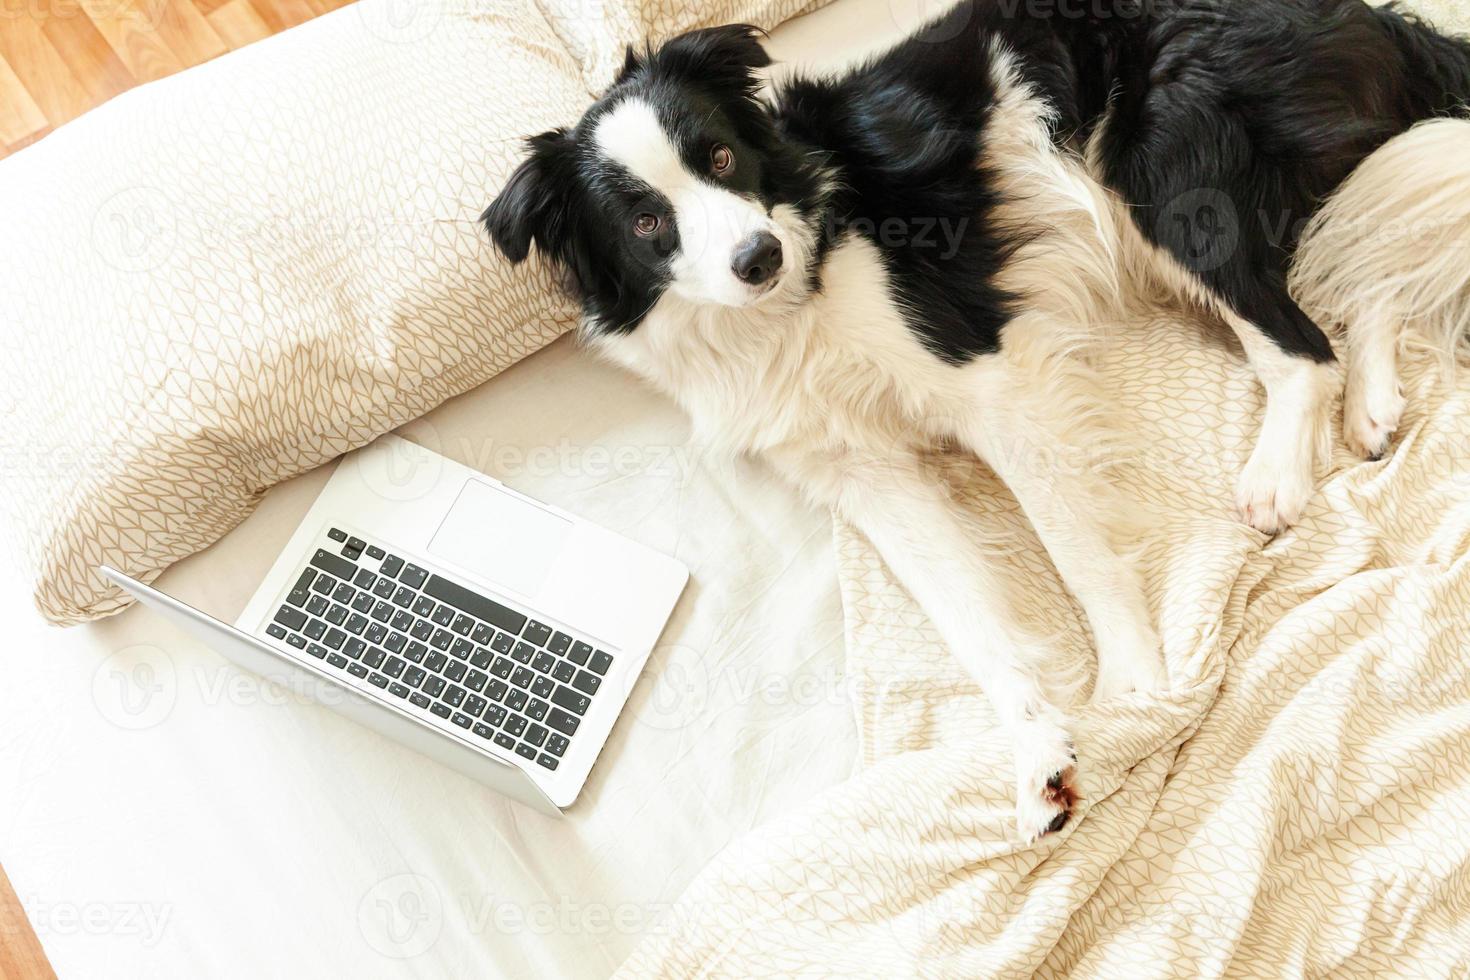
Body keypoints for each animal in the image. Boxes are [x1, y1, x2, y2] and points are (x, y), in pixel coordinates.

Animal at [488, 1, 1470, 846]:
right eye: (646, 221)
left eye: (722, 159)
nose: (758, 257)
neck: (779, 310)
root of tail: (1373, 18)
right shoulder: (860, 474)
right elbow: (965, 618)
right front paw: (1039, 753)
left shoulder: (982, 376)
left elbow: (1074, 554)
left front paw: (1133, 689)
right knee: (1369, 256)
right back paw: (1375, 406)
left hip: (1163, 181)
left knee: (1305, 343)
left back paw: (1281, 468)